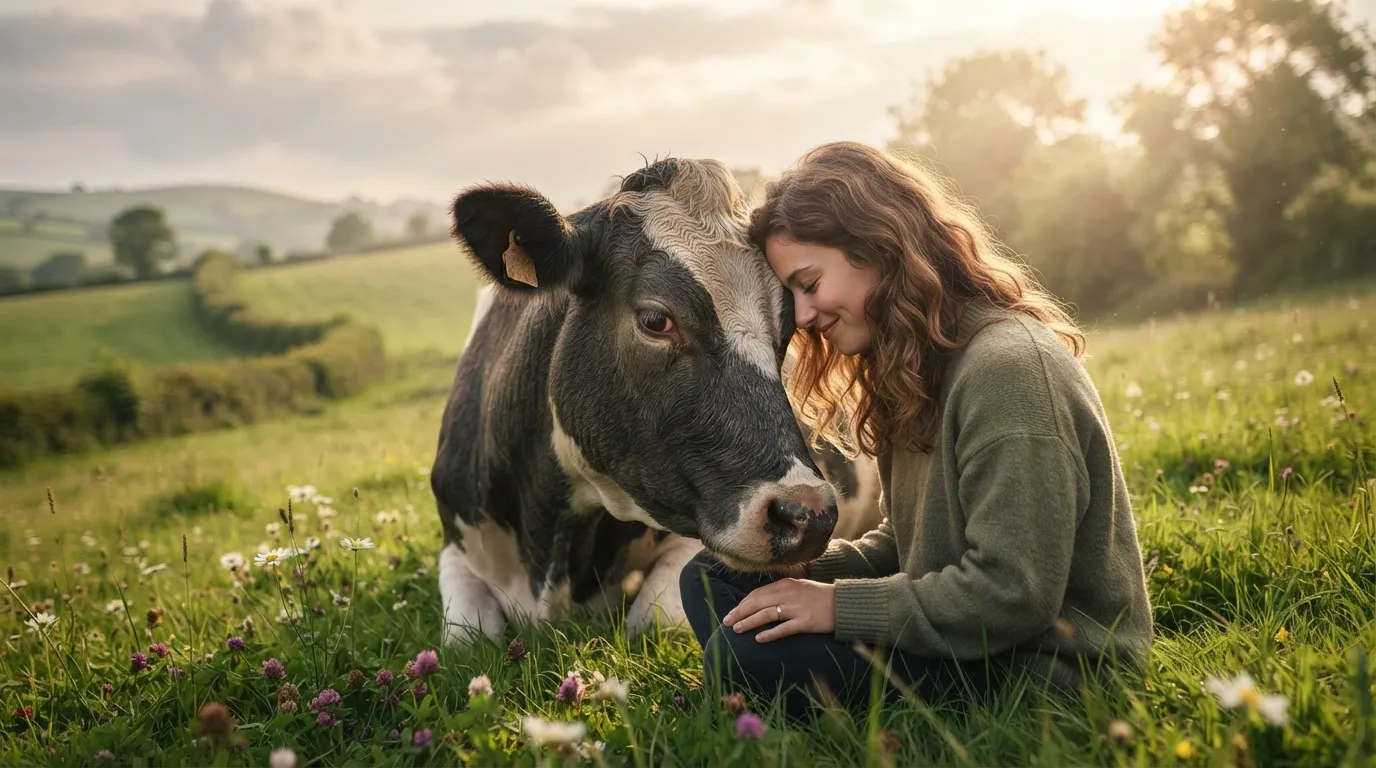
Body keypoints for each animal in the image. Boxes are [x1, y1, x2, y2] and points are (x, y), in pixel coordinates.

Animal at [429, 157, 873, 648]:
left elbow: (650, 620)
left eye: (788, 327)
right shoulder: (455, 544)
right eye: (656, 320)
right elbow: (467, 637)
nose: (807, 515)